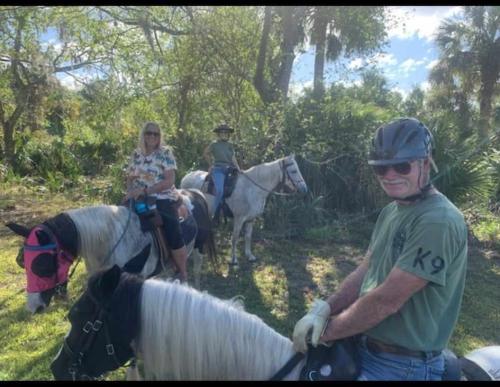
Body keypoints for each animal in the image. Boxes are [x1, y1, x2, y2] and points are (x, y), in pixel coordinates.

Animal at [5, 189, 216, 314]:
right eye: (21, 262)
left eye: (42, 264)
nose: (33, 307)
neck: (108, 240)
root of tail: (195, 193)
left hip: (198, 248)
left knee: (195, 269)